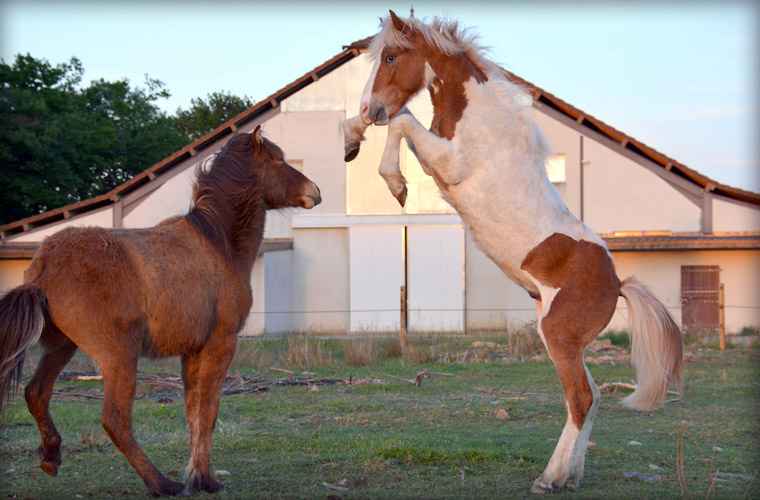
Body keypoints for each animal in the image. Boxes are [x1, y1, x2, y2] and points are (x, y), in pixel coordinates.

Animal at [0, 126, 320, 496]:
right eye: (279, 160)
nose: (315, 192)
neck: (219, 245)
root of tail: (43, 268)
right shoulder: (221, 344)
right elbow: (208, 410)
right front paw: (204, 480)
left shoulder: (192, 352)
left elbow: (193, 411)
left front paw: (197, 475)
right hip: (119, 355)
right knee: (115, 419)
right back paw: (162, 484)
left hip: (61, 346)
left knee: (37, 393)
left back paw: (51, 458)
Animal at [344, 10, 684, 492]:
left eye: (391, 56)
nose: (367, 110)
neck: (475, 116)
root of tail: (618, 283)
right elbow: (404, 118)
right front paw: (351, 143)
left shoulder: (447, 162)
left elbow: (402, 123)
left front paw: (396, 184)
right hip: (566, 342)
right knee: (593, 398)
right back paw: (570, 476)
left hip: (559, 337)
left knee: (581, 399)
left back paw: (549, 478)